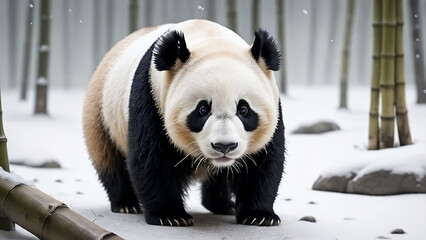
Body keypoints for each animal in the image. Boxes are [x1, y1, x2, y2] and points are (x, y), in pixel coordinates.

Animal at [81, 19, 284, 227]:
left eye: (243, 110)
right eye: (202, 109)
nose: (224, 146)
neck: (208, 37)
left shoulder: (273, 108)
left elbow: (263, 164)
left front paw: (259, 215)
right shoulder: (151, 100)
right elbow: (152, 159)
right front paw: (170, 215)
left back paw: (224, 205)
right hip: (101, 114)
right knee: (109, 160)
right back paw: (126, 204)